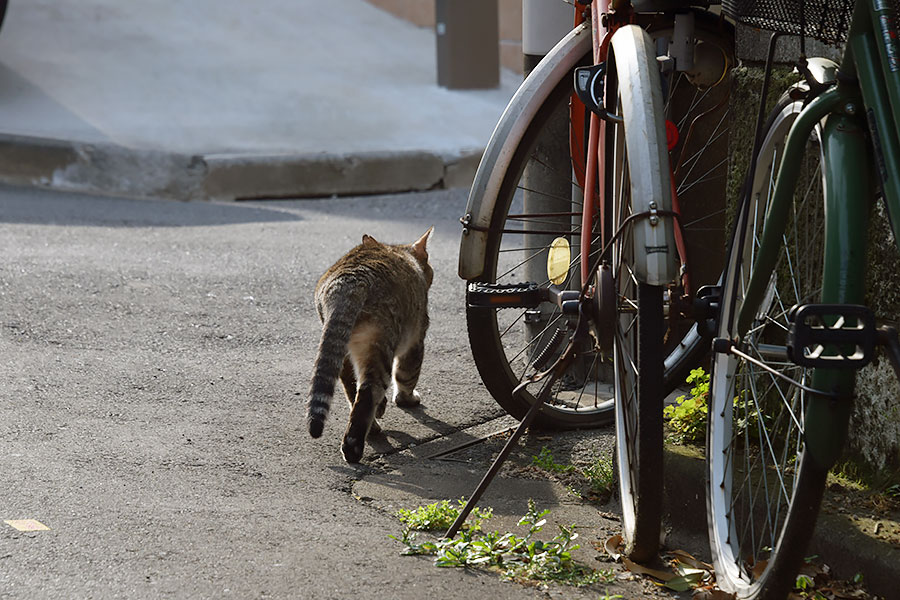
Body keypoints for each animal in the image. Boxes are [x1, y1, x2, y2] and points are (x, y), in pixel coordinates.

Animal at [308, 227, 434, 462]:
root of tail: (348, 283)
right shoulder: (416, 339)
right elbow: (407, 375)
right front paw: (406, 399)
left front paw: (383, 407)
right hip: (380, 345)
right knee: (367, 391)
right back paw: (353, 447)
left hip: (343, 351)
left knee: (352, 388)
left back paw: (372, 426)